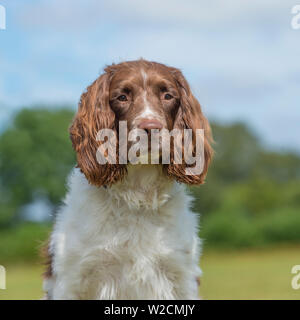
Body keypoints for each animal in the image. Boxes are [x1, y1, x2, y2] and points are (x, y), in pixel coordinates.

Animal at [42, 60, 213, 300]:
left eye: (168, 96)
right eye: (122, 97)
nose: (151, 128)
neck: (138, 194)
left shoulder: (181, 276)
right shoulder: (71, 280)